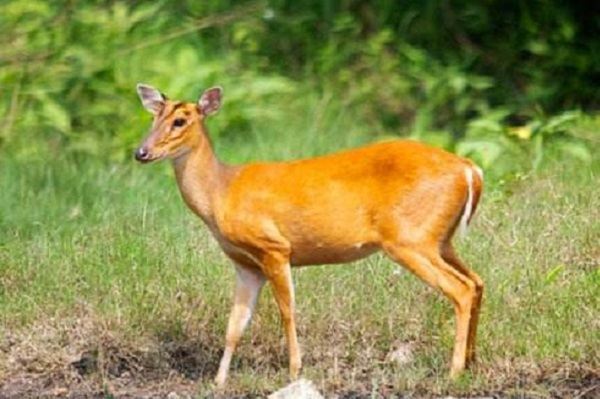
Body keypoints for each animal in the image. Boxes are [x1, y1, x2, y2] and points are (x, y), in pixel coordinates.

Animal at [135, 84, 482, 388]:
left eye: (180, 120)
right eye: (153, 118)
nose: (141, 152)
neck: (221, 193)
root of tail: (470, 170)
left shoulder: (274, 247)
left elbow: (287, 311)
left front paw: (294, 370)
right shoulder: (245, 265)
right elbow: (235, 324)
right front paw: (218, 382)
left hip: (410, 239)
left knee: (461, 288)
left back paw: (454, 371)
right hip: (440, 240)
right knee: (477, 282)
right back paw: (470, 362)